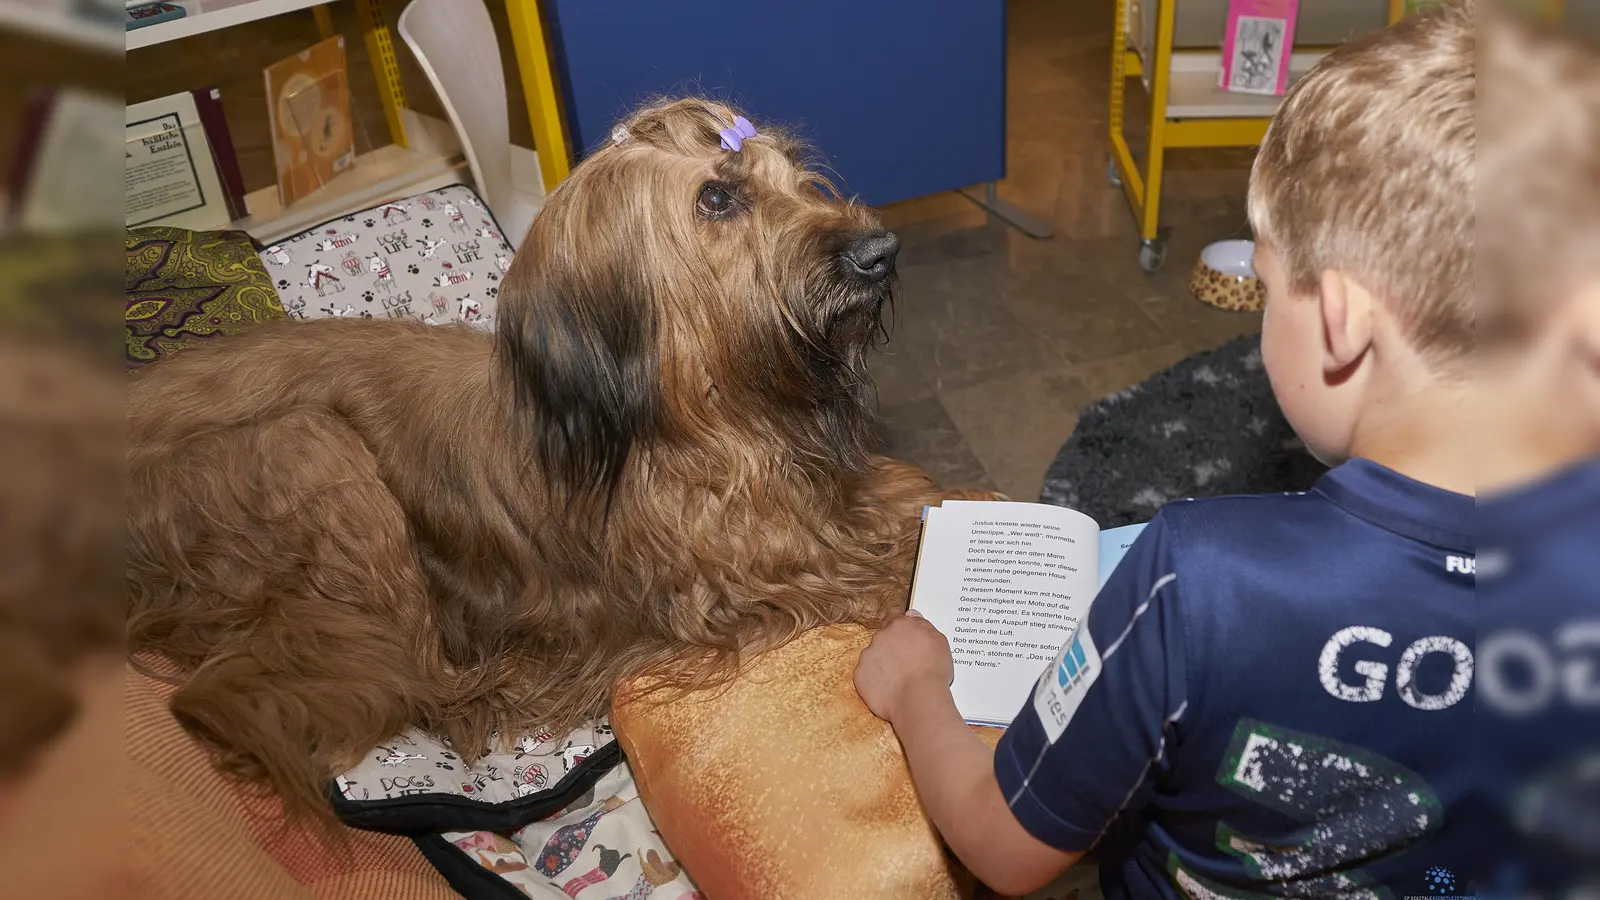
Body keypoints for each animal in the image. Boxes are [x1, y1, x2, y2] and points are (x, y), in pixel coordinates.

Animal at [124, 98, 966, 819]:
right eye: (717, 198)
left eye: (793, 172)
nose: (880, 250)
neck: (716, 411)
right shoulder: (761, 577)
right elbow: (887, 574)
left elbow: (910, 489)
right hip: (312, 456)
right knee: (421, 676)